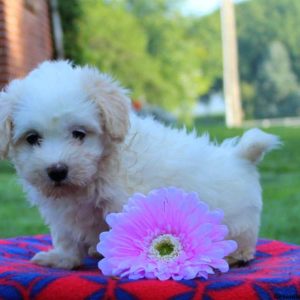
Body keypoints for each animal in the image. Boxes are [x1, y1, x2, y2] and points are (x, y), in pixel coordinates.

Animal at [0, 61, 280, 270]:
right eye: (32, 138)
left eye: (79, 134)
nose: (57, 170)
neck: (94, 174)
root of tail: (239, 156)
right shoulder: (63, 213)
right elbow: (66, 237)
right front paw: (61, 259)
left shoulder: (122, 202)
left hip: (238, 223)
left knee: (243, 242)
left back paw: (234, 255)